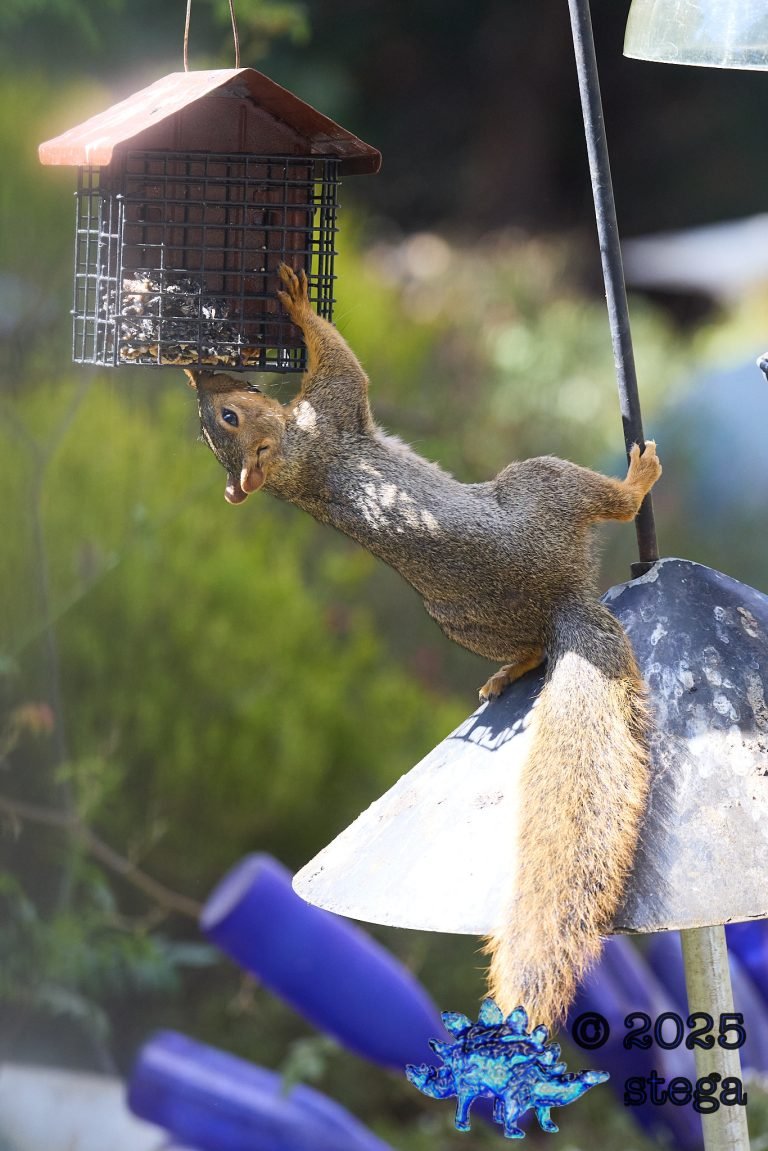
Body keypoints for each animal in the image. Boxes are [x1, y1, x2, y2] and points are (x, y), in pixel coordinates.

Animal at [187, 264, 662, 1032]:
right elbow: (341, 362)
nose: (200, 373)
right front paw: (298, 303)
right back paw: (636, 480)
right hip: (540, 485)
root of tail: (560, 595)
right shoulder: (333, 412)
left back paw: (511, 668)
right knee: (603, 502)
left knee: (528, 645)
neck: (291, 464)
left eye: (219, 423)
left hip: (460, 621)